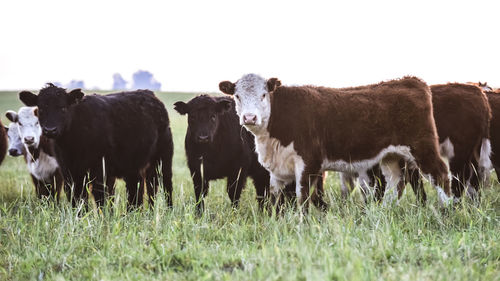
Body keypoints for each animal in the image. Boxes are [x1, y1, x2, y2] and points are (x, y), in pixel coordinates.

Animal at [18, 83, 174, 208]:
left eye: (63, 108)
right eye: (41, 109)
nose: (50, 130)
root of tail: (151, 96)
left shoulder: (100, 171)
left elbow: (100, 199)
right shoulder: (69, 173)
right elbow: (76, 199)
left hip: (163, 159)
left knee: (165, 186)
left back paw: (168, 211)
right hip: (134, 166)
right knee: (138, 190)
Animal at [219, 73, 454, 209]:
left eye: (263, 94)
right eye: (237, 96)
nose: (250, 117)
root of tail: (411, 80)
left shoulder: (309, 163)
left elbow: (303, 196)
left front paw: (301, 225)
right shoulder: (276, 169)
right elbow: (275, 197)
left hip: (422, 147)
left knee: (441, 175)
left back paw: (447, 210)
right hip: (391, 155)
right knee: (396, 182)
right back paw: (384, 211)